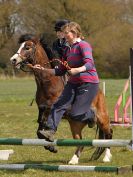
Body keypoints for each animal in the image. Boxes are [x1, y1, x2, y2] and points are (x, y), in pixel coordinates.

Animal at [9, 34, 112, 165]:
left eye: (27, 47)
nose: (13, 60)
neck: (48, 82)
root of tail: (100, 92)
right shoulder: (42, 109)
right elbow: (40, 130)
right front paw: (50, 146)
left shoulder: (53, 109)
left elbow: (47, 125)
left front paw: (50, 144)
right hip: (75, 124)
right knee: (80, 141)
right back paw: (74, 160)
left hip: (102, 118)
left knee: (109, 133)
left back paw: (106, 157)